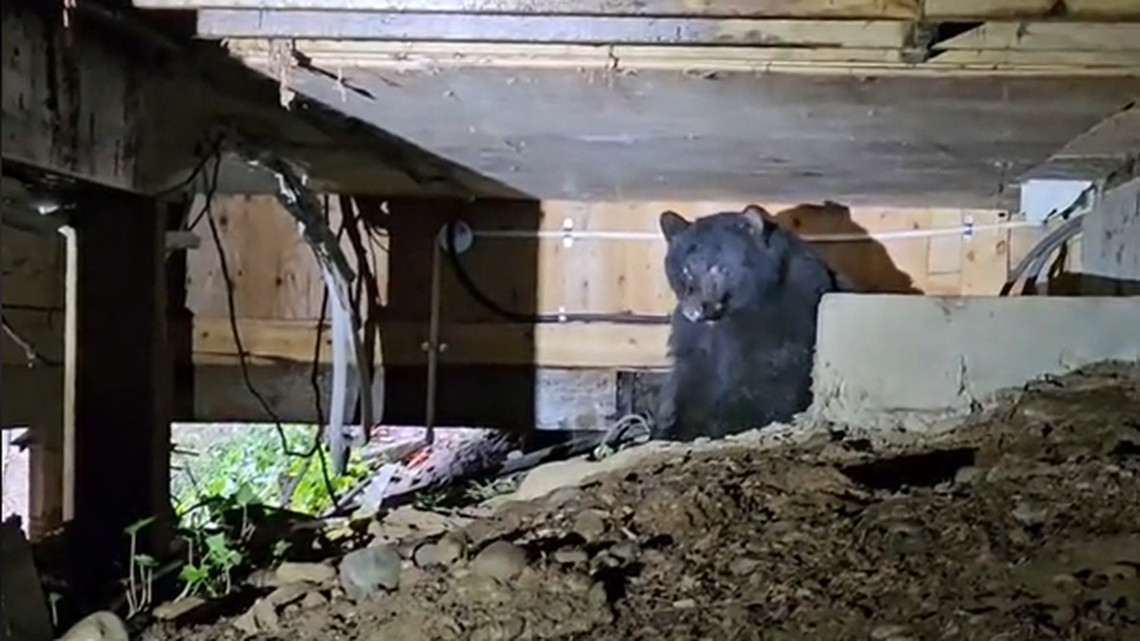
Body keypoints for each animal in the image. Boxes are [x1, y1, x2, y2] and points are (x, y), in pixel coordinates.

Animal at [653, 203, 855, 442]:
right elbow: (689, 381)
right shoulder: (695, 343)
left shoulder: (785, 328)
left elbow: (771, 384)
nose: (692, 310)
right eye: (685, 269)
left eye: (718, 267)